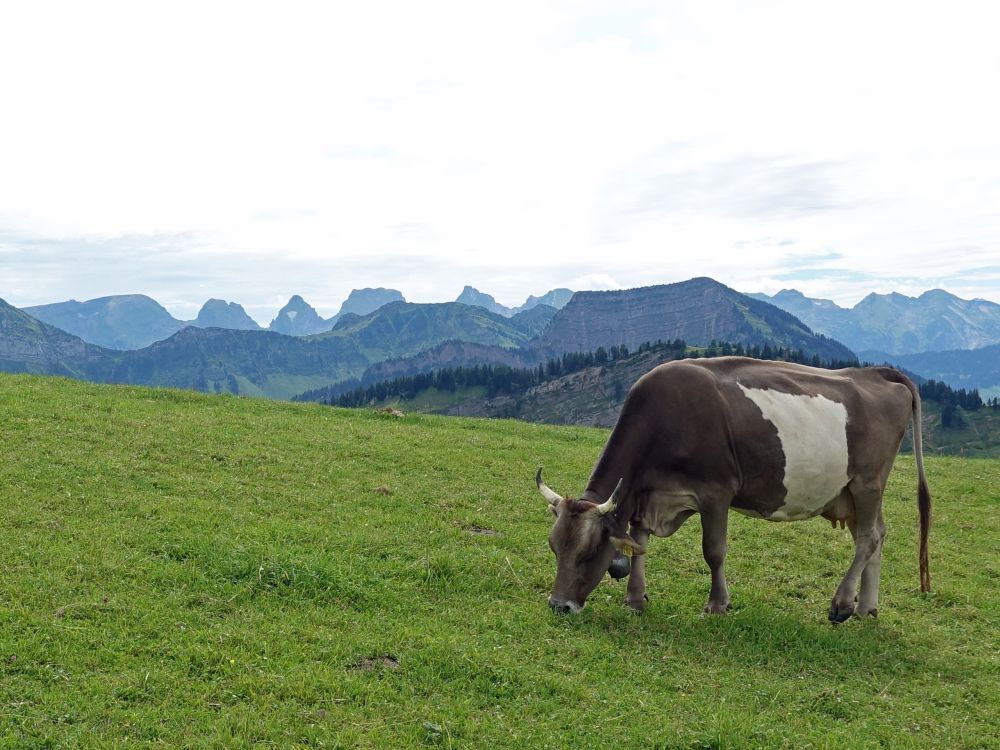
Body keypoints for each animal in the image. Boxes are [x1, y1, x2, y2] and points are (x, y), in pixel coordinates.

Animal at [536, 358, 932, 624]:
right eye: (554, 548)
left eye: (589, 553)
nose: (559, 605)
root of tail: (877, 372)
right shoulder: (649, 495)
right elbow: (640, 544)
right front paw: (635, 598)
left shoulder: (716, 492)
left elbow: (713, 551)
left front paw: (717, 604)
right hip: (848, 492)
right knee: (876, 534)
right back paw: (866, 607)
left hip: (867, 482)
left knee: (868, 538)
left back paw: (843, 605)